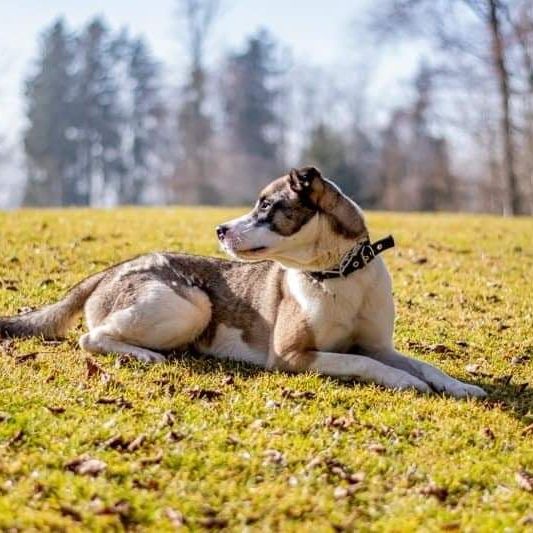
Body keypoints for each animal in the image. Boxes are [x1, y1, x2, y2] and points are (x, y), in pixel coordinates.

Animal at [0, 168, 486, 396]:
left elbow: (424, 365)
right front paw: (406, 383)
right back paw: (144, 354)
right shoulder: (293, 356)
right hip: (191, 305)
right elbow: (365, 364)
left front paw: (458, 386)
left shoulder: (379, 345)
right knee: (92, 337)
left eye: (266, 206)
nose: (219, 229)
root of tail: (111, 269)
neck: (337, 274)